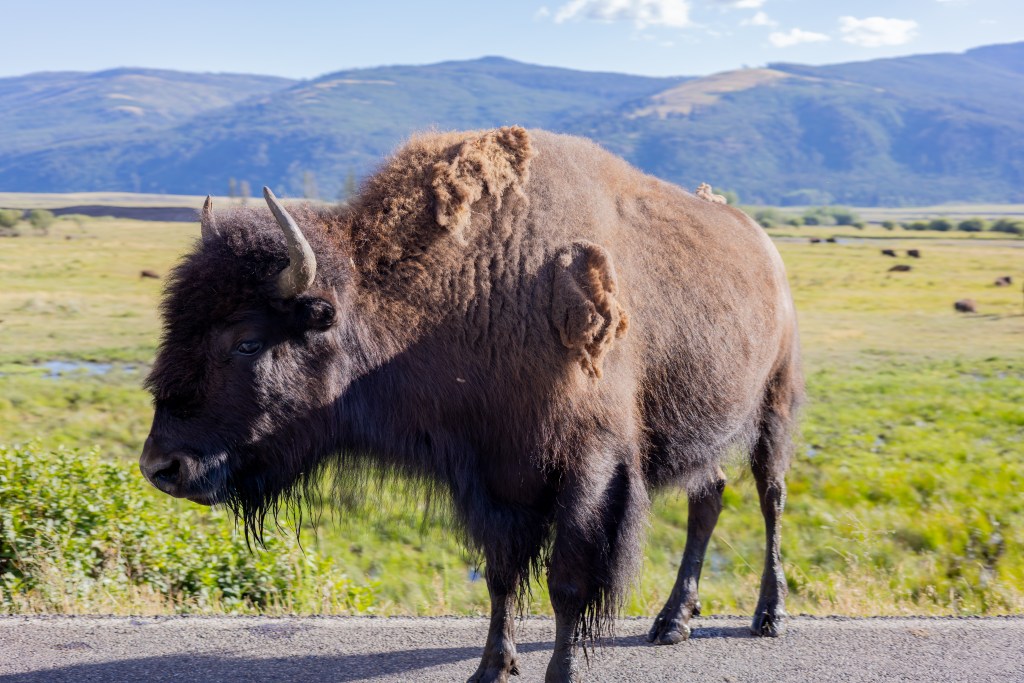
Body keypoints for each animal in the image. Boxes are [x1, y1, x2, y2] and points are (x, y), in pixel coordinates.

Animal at [139, 128, 803, 682]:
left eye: (246, 340)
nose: (161, 467)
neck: (470, 292)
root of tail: (765, 248)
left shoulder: (588, 470)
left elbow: (567, 582)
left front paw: (560, 673)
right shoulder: (492, 476)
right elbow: (501, 575)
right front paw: (490, 668)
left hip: (772, 409)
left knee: (770, 498)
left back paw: (768, 616)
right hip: (705, 431)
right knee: (708, 498)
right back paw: (672, 622)